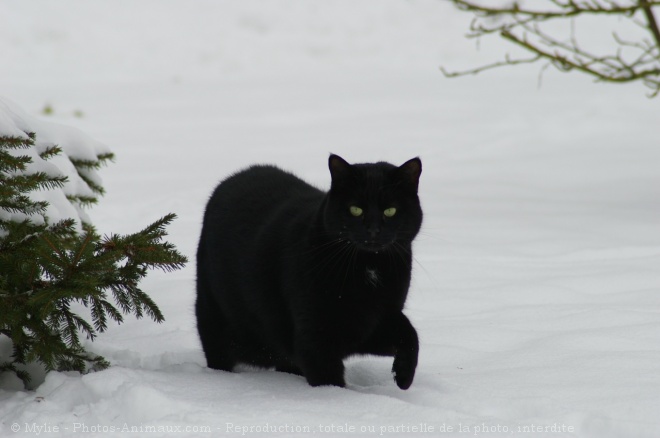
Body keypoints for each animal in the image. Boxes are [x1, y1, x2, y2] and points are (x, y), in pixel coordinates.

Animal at [196, 155, 422, 390]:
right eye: (355, 209)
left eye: (390, 211)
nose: (373, 230)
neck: (369, 268)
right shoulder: (315, 334)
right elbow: (328, 379)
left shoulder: (374, 321)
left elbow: (410, 335)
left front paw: (404, 377)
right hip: (212, 315)